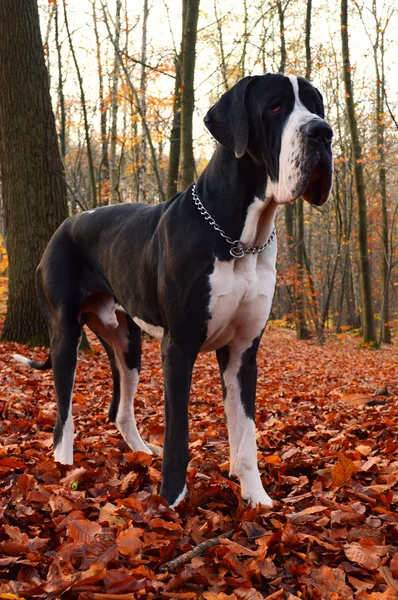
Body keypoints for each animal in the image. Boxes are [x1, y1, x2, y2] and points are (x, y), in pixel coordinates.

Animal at [14, 72, 332, 508]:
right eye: (276, 106)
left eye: (316, 106)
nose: (323, 132)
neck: (240, 238)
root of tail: (63, 226)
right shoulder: (179, 347)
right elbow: (179, 433)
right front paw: (171, 501)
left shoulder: (243, 353)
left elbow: (246, 433)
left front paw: (256, 497)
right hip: (65, 336)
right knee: (63, 412)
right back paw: (63, 468)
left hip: (126, 341)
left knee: (120, 410)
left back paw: (140, 452)